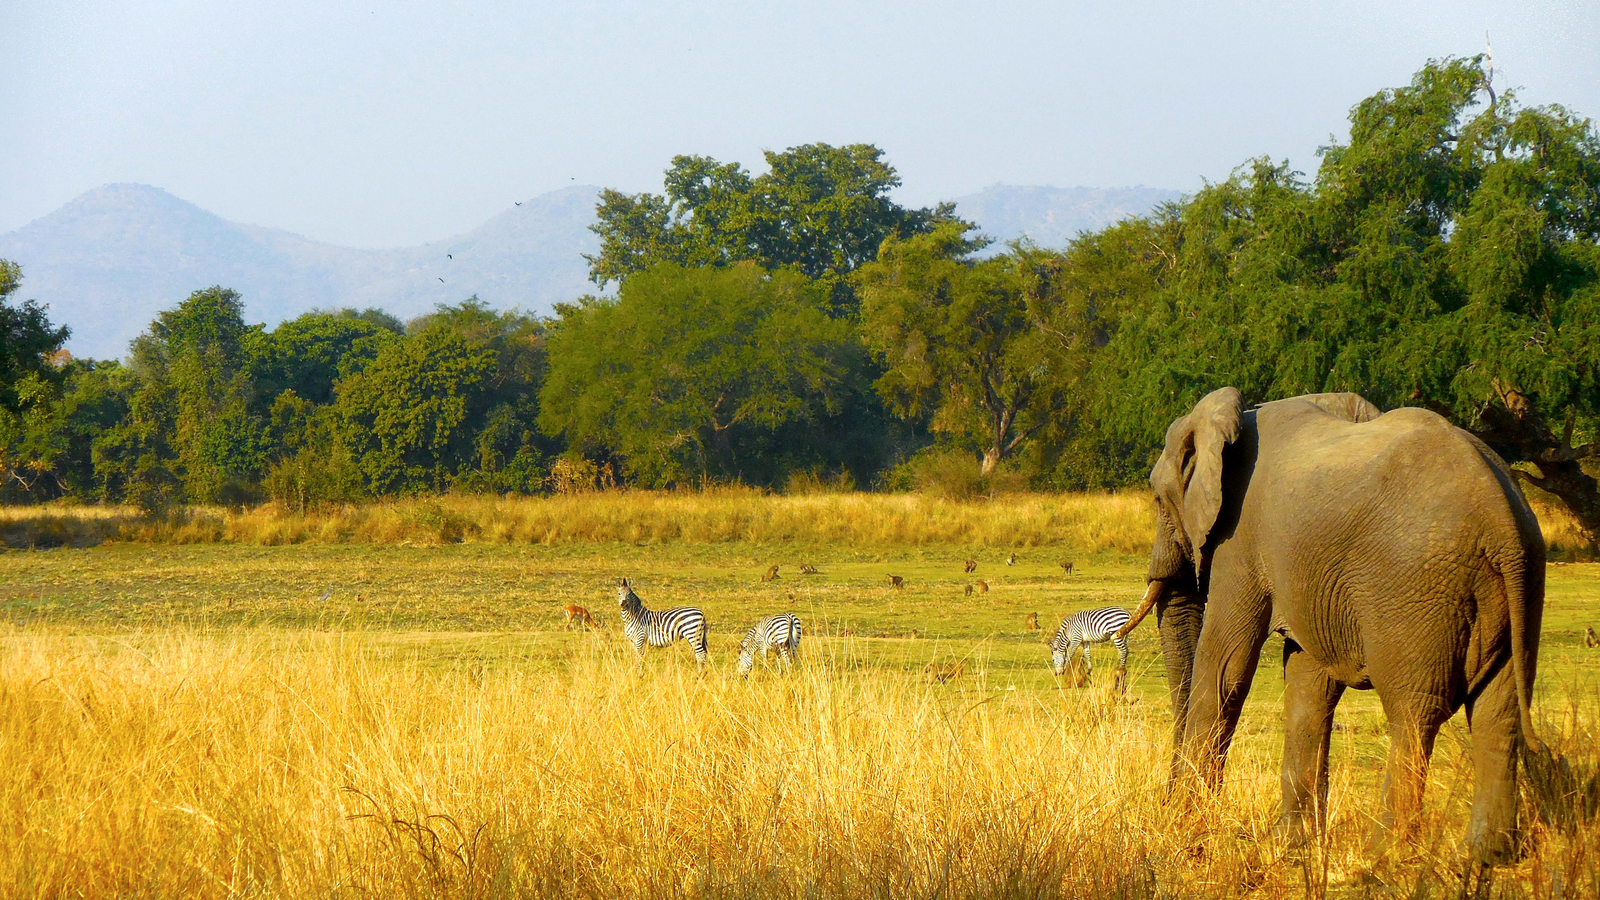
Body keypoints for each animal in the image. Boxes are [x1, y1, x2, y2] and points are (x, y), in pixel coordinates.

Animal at [1117, 387, 1544, 863]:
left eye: (1158, 500)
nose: (1163, 803)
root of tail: (1501, 518)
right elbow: (1309, 682)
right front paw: (1293, 846)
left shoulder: (1240, 538)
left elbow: (1225, 666)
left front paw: (1185, 835)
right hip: (1517, 587)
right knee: (1498, 712)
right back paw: (1487, 855)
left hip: (1416, 591)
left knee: (1415, 712)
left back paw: (1383, 855)